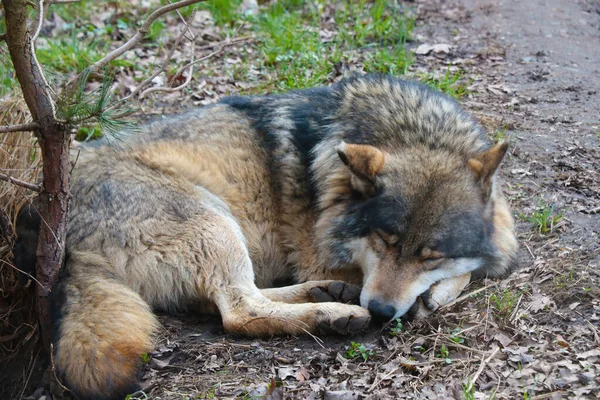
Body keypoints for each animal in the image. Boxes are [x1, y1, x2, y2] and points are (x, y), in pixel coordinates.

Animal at [14, 74, 516, 396]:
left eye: (430, 255)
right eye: (383, 241)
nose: (381, 311)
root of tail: (47, 221)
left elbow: (477, 265)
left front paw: (433, 292)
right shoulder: (324, 254)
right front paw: (426, 297)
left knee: (238, 297)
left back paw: (328, 297)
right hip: (213, 220)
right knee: (238, 311)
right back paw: (332, 313)